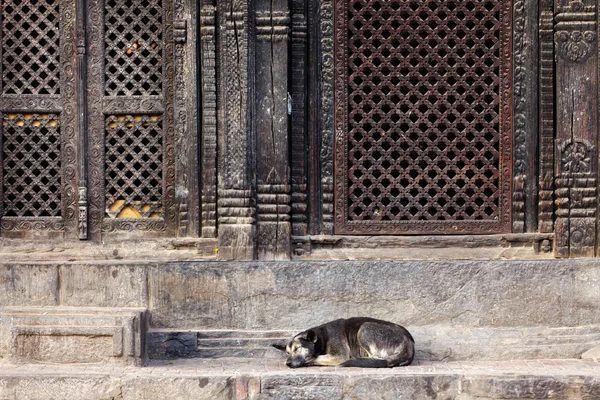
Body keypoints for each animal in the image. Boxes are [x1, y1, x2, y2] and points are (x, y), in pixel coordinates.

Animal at [272, 318, 412, 368]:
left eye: (297, 349)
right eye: (287, 352)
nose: (288, 363)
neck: (322, 337)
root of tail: (409, 343)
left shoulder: (339, 356)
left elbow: (315, 358)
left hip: (364, 327)